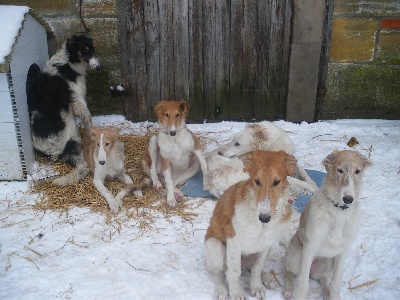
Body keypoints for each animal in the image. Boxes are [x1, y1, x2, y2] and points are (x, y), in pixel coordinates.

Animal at [206, 151, 296, 298]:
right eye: (257, 181)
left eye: (277, 182)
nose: (264, 218)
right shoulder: (234, 242)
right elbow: (234, 272)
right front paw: (236, 293)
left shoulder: (266, 243)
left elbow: (257, 267)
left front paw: (256, 286)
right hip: (214, 246)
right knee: (219, 272)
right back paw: (221, 290)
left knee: (249, 267)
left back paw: (267, 278)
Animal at [282, 150, 370, 300]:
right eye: (339, 170)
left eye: (358, 171)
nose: (348, 199)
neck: (339, 211)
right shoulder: (310, 246)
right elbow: (302, 284)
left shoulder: (343, 251)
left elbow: (335, 283)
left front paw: (333, 295)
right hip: (295, 257)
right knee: (290, 272)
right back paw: (288, 288)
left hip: (328, 264)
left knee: (323, 279)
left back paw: (326, 292)